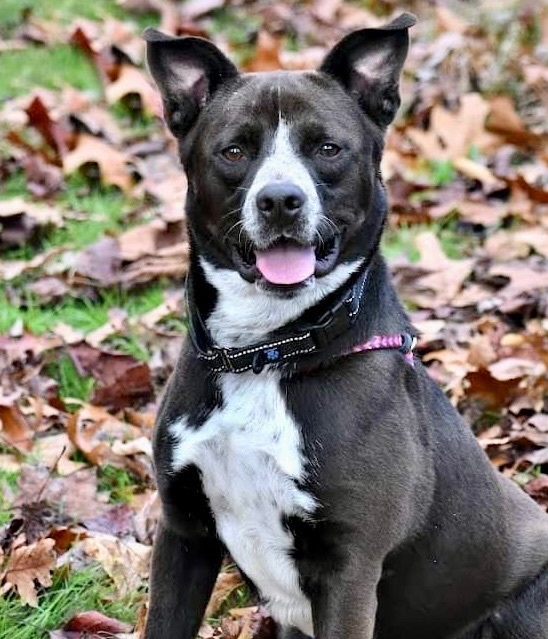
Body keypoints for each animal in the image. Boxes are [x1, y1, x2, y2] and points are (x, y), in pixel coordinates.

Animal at [141, 15, 548, 639]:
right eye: (234, 151)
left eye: (328, 148)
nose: (280, 200)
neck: (267, 354)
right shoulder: (183, 533)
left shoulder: (349, 569)